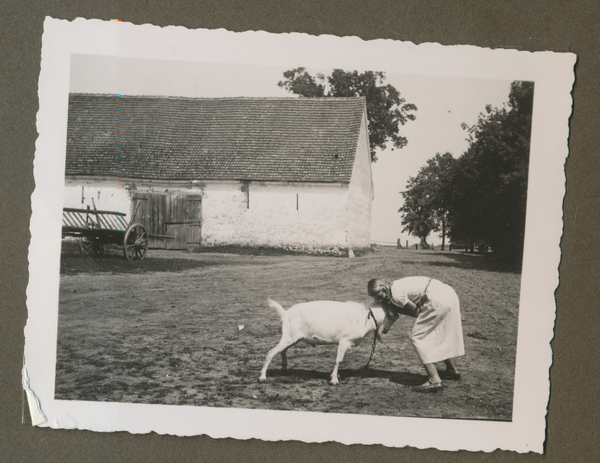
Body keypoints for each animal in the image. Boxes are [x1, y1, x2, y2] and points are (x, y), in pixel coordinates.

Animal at [258, 300, 398, 386]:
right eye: (393, 316)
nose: (386, 330)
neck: (366, 317)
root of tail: (286, 313)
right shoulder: (344, 341)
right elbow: (339, 360)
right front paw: (334, 379)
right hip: (289, 337)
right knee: (271, 353)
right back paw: (262, 377)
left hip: (294, 338)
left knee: (283, 350)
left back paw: (284, 367)